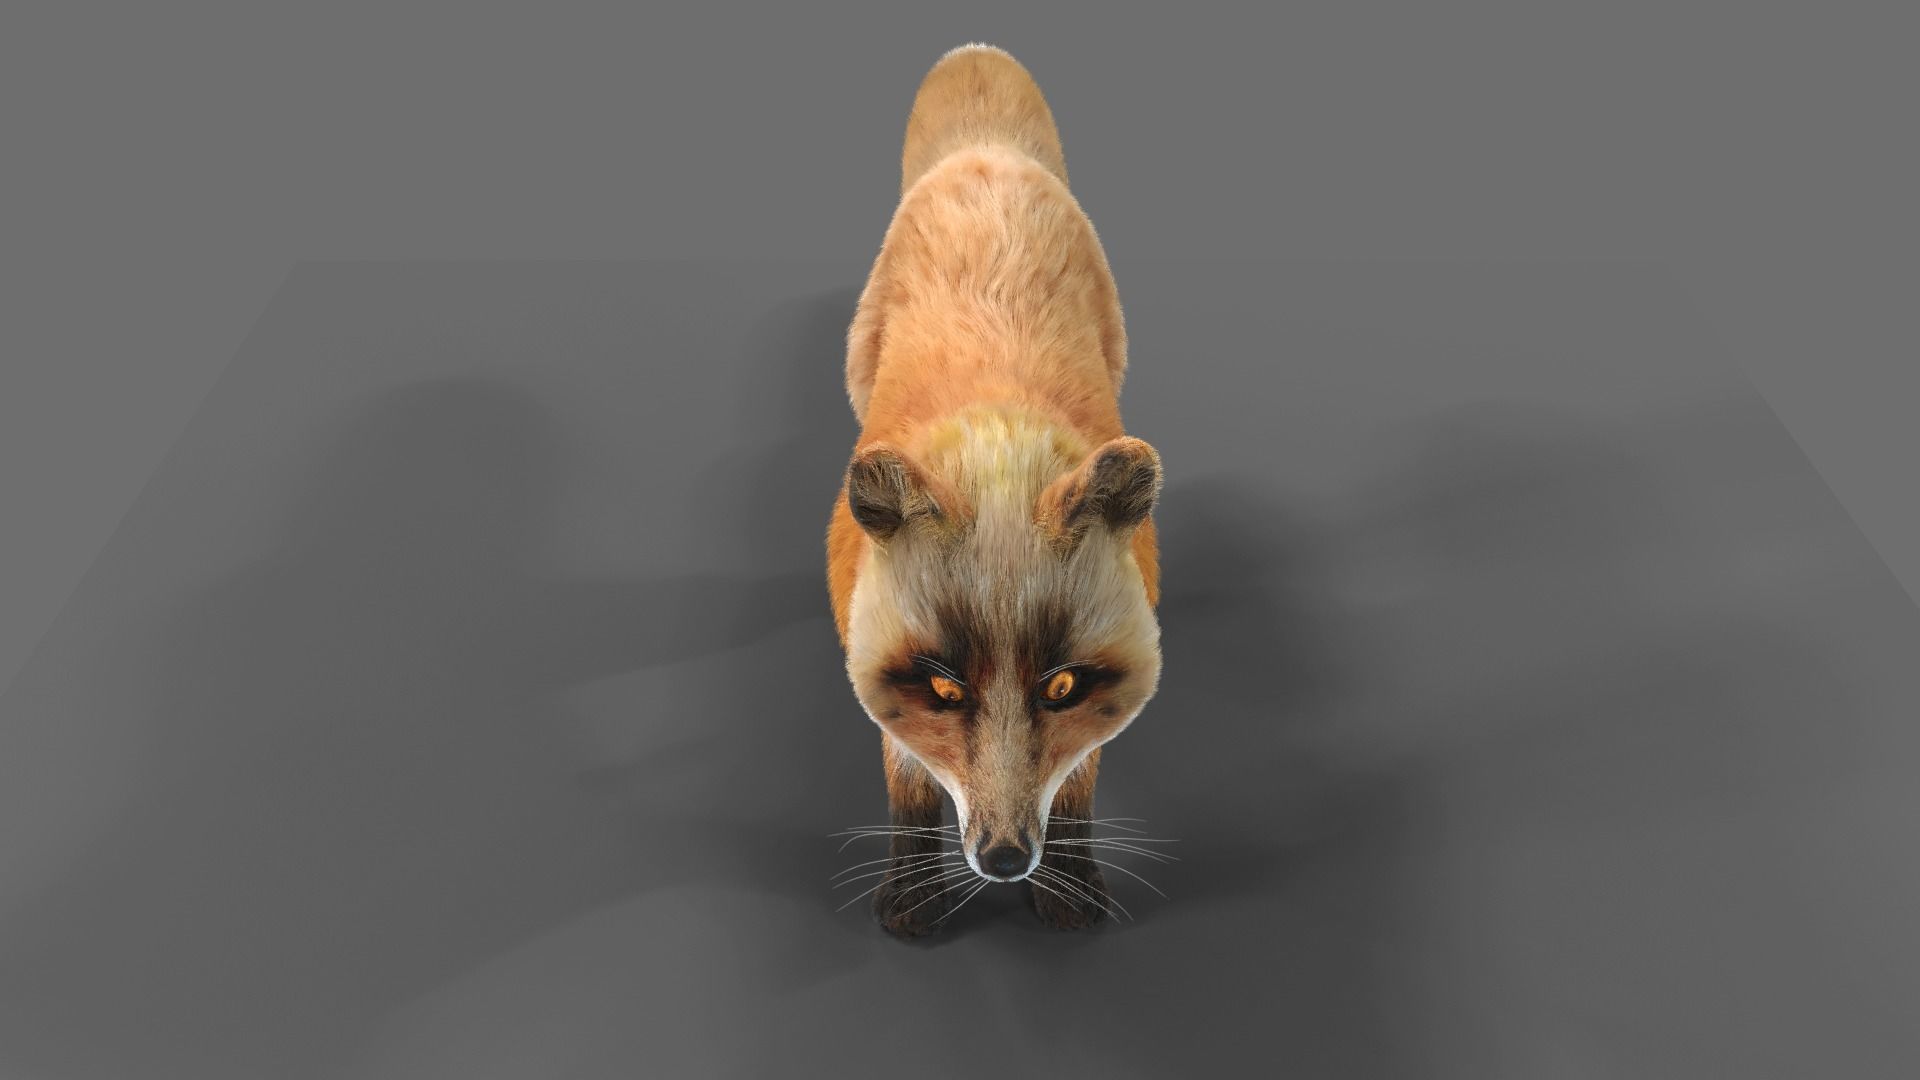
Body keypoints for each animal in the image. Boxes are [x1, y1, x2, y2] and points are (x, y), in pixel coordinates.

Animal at [827, 44, 1165, 937]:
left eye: (1063, 686)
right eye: (943, 687)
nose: (1007, 860)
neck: (998, 442)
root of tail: (988, 152)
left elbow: (1077, 776)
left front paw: (1070, 887)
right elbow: (908, 775)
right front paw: (915, 896)